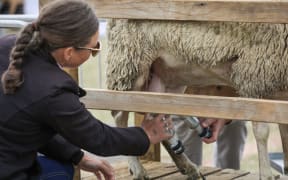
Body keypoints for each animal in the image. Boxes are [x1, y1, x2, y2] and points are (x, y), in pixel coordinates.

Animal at [105, 19, 288, 179]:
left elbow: (284, 132)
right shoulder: (254, 77)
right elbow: (262, 132)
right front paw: (267, 175)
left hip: (167, 74)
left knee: (159, 115)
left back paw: (187, 166)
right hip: (131, 60)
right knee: (119, 113)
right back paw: (138, 169)